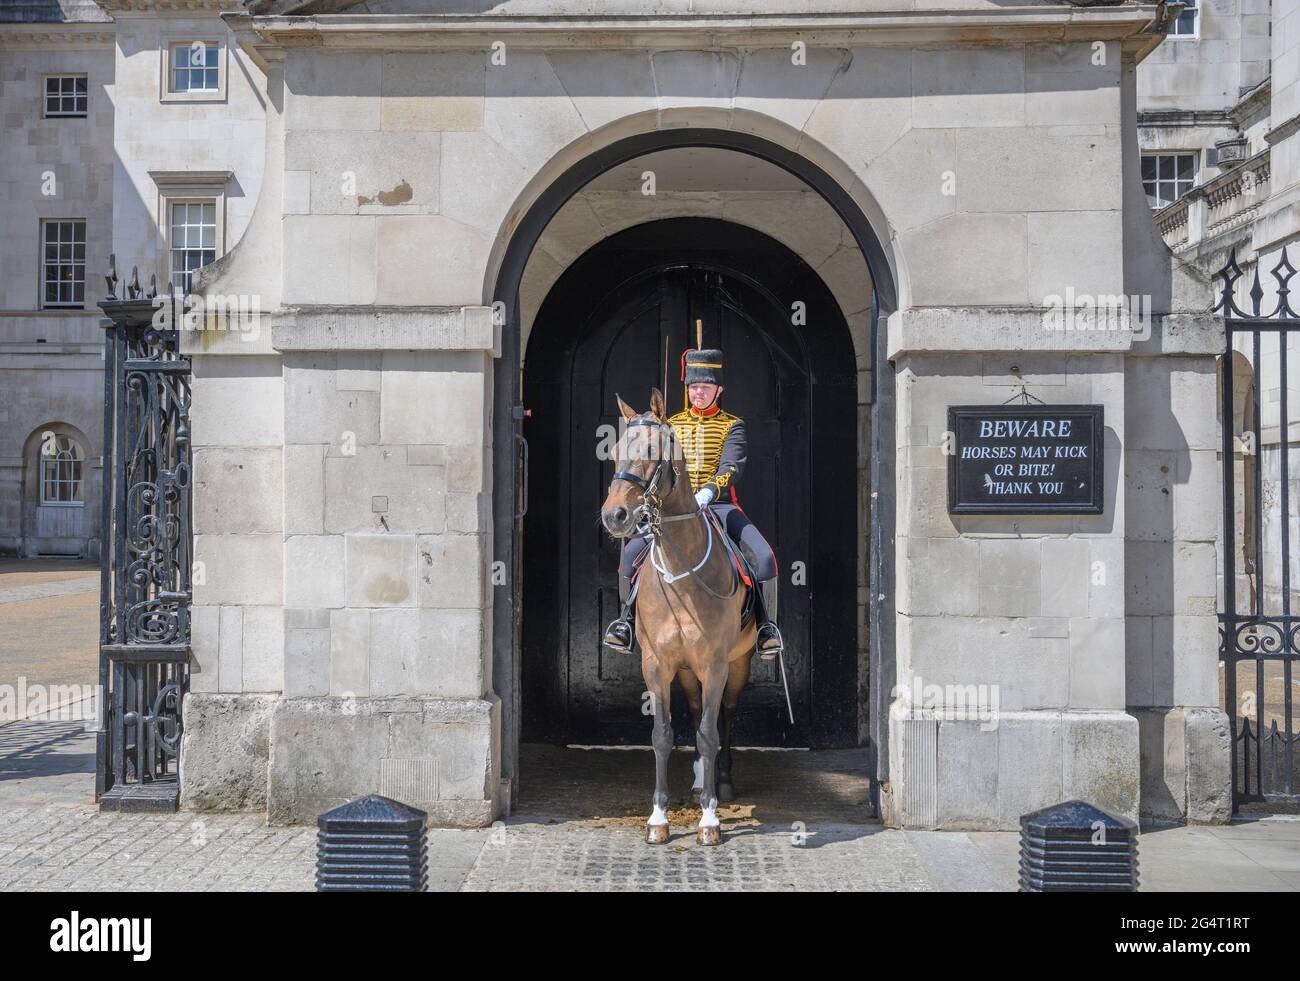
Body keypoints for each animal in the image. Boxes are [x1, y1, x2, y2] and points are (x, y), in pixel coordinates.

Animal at [595, 387, 754, 847]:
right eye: (614, 450)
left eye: (653, 451)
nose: (615, 516)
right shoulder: (658, 664)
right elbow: (663, 736)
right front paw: (659, 817)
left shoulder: (717, 663)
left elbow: (709, 734)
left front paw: (710, 821)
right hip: (686, 670)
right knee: (700, 708)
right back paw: (701, 783)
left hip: (737, 663)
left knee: (724, 715)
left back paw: (721, 782)